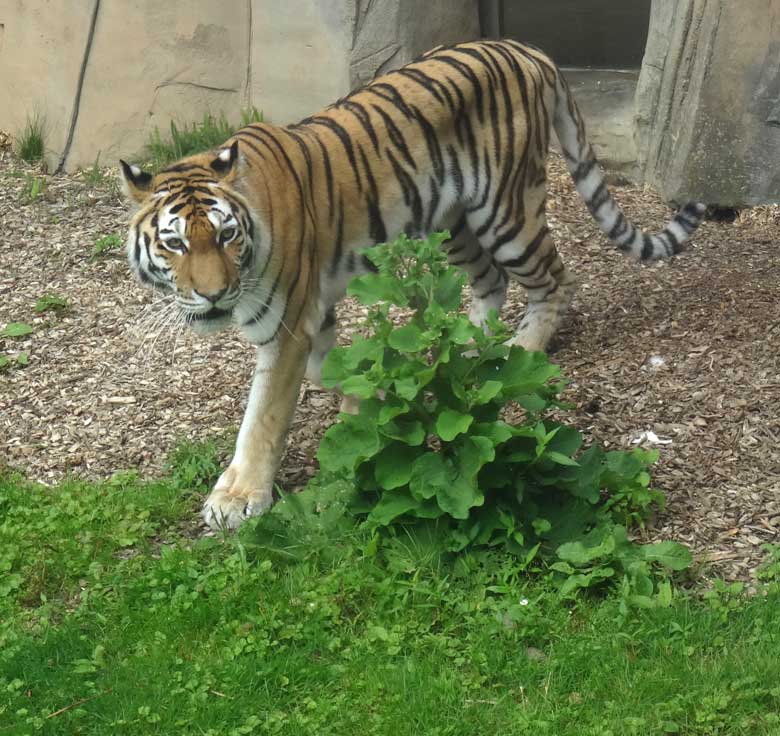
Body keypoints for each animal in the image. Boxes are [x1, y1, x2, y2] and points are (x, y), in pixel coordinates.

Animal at [120, 38, 708, 528]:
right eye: (175, 244)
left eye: (226, 235)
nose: (214, 294)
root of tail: (528, 49)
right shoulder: (314, 315)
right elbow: (334, 370)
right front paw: (371, 404)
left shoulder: (286, 324)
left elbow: (263, 418)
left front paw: (239, 499)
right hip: (453, 222)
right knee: (491, 282)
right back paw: (470, 348)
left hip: (506, 212)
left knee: (556, 279)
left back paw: (521, 350)